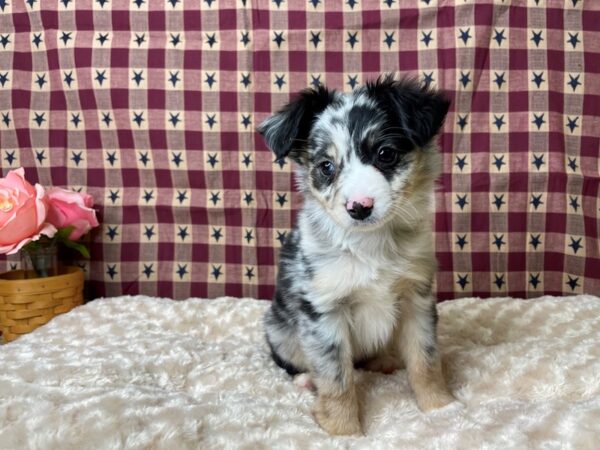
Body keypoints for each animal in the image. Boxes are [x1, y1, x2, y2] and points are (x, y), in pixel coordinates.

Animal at [258, 74, 454, 436]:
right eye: (326, 166)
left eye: (385, 153)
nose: (359, 207)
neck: (371, 245)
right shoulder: (324, 311)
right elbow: (337, 378)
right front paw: (343, 430)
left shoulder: (417, 298)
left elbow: (425, 360)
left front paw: (440, 408)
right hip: (279, 331)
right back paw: (307, 380)